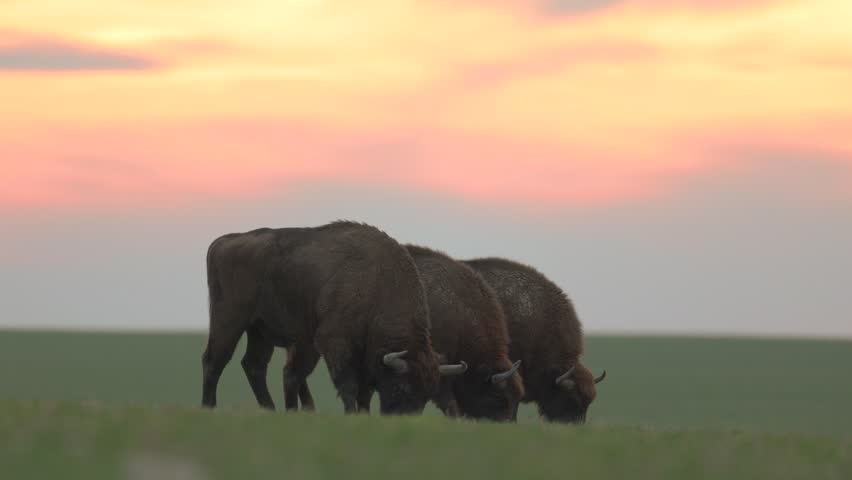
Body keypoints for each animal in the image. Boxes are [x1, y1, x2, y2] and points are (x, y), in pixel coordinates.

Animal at [202, 220, 466, 415]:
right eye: (402, 386)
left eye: (426, 395)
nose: (401, 418)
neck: (378, 283)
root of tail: (223, 242)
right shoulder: (335, 344)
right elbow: (348, 385)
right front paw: (351, 414)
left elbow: (364, 392)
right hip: (229, 322)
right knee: (214, 361)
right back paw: (209, 407)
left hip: (261, 332)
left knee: (255, 366)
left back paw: (271, 409)